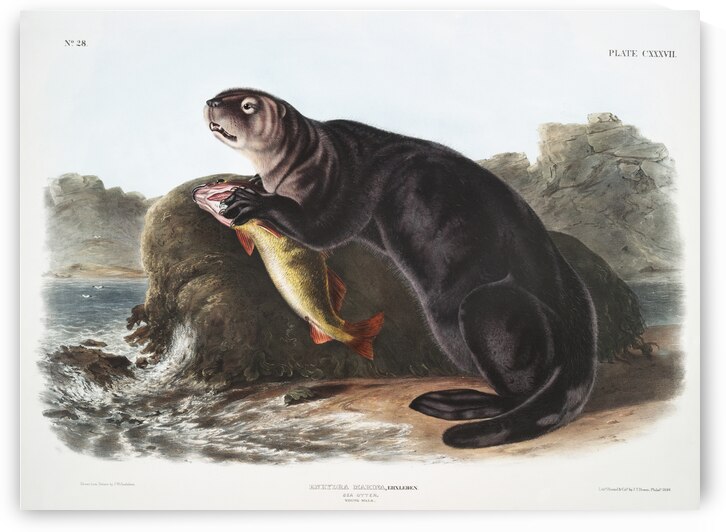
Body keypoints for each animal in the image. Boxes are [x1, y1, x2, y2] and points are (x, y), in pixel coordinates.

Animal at [203, 88, 598, 448]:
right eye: (224, 94)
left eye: (247, 105)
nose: (211, 102)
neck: (314, 157)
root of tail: (580, 342)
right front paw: (252, 184)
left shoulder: (342, 186)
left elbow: (323, 230)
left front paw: (250, 200)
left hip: (490, 307)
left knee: (519, 389)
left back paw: (454, 402)